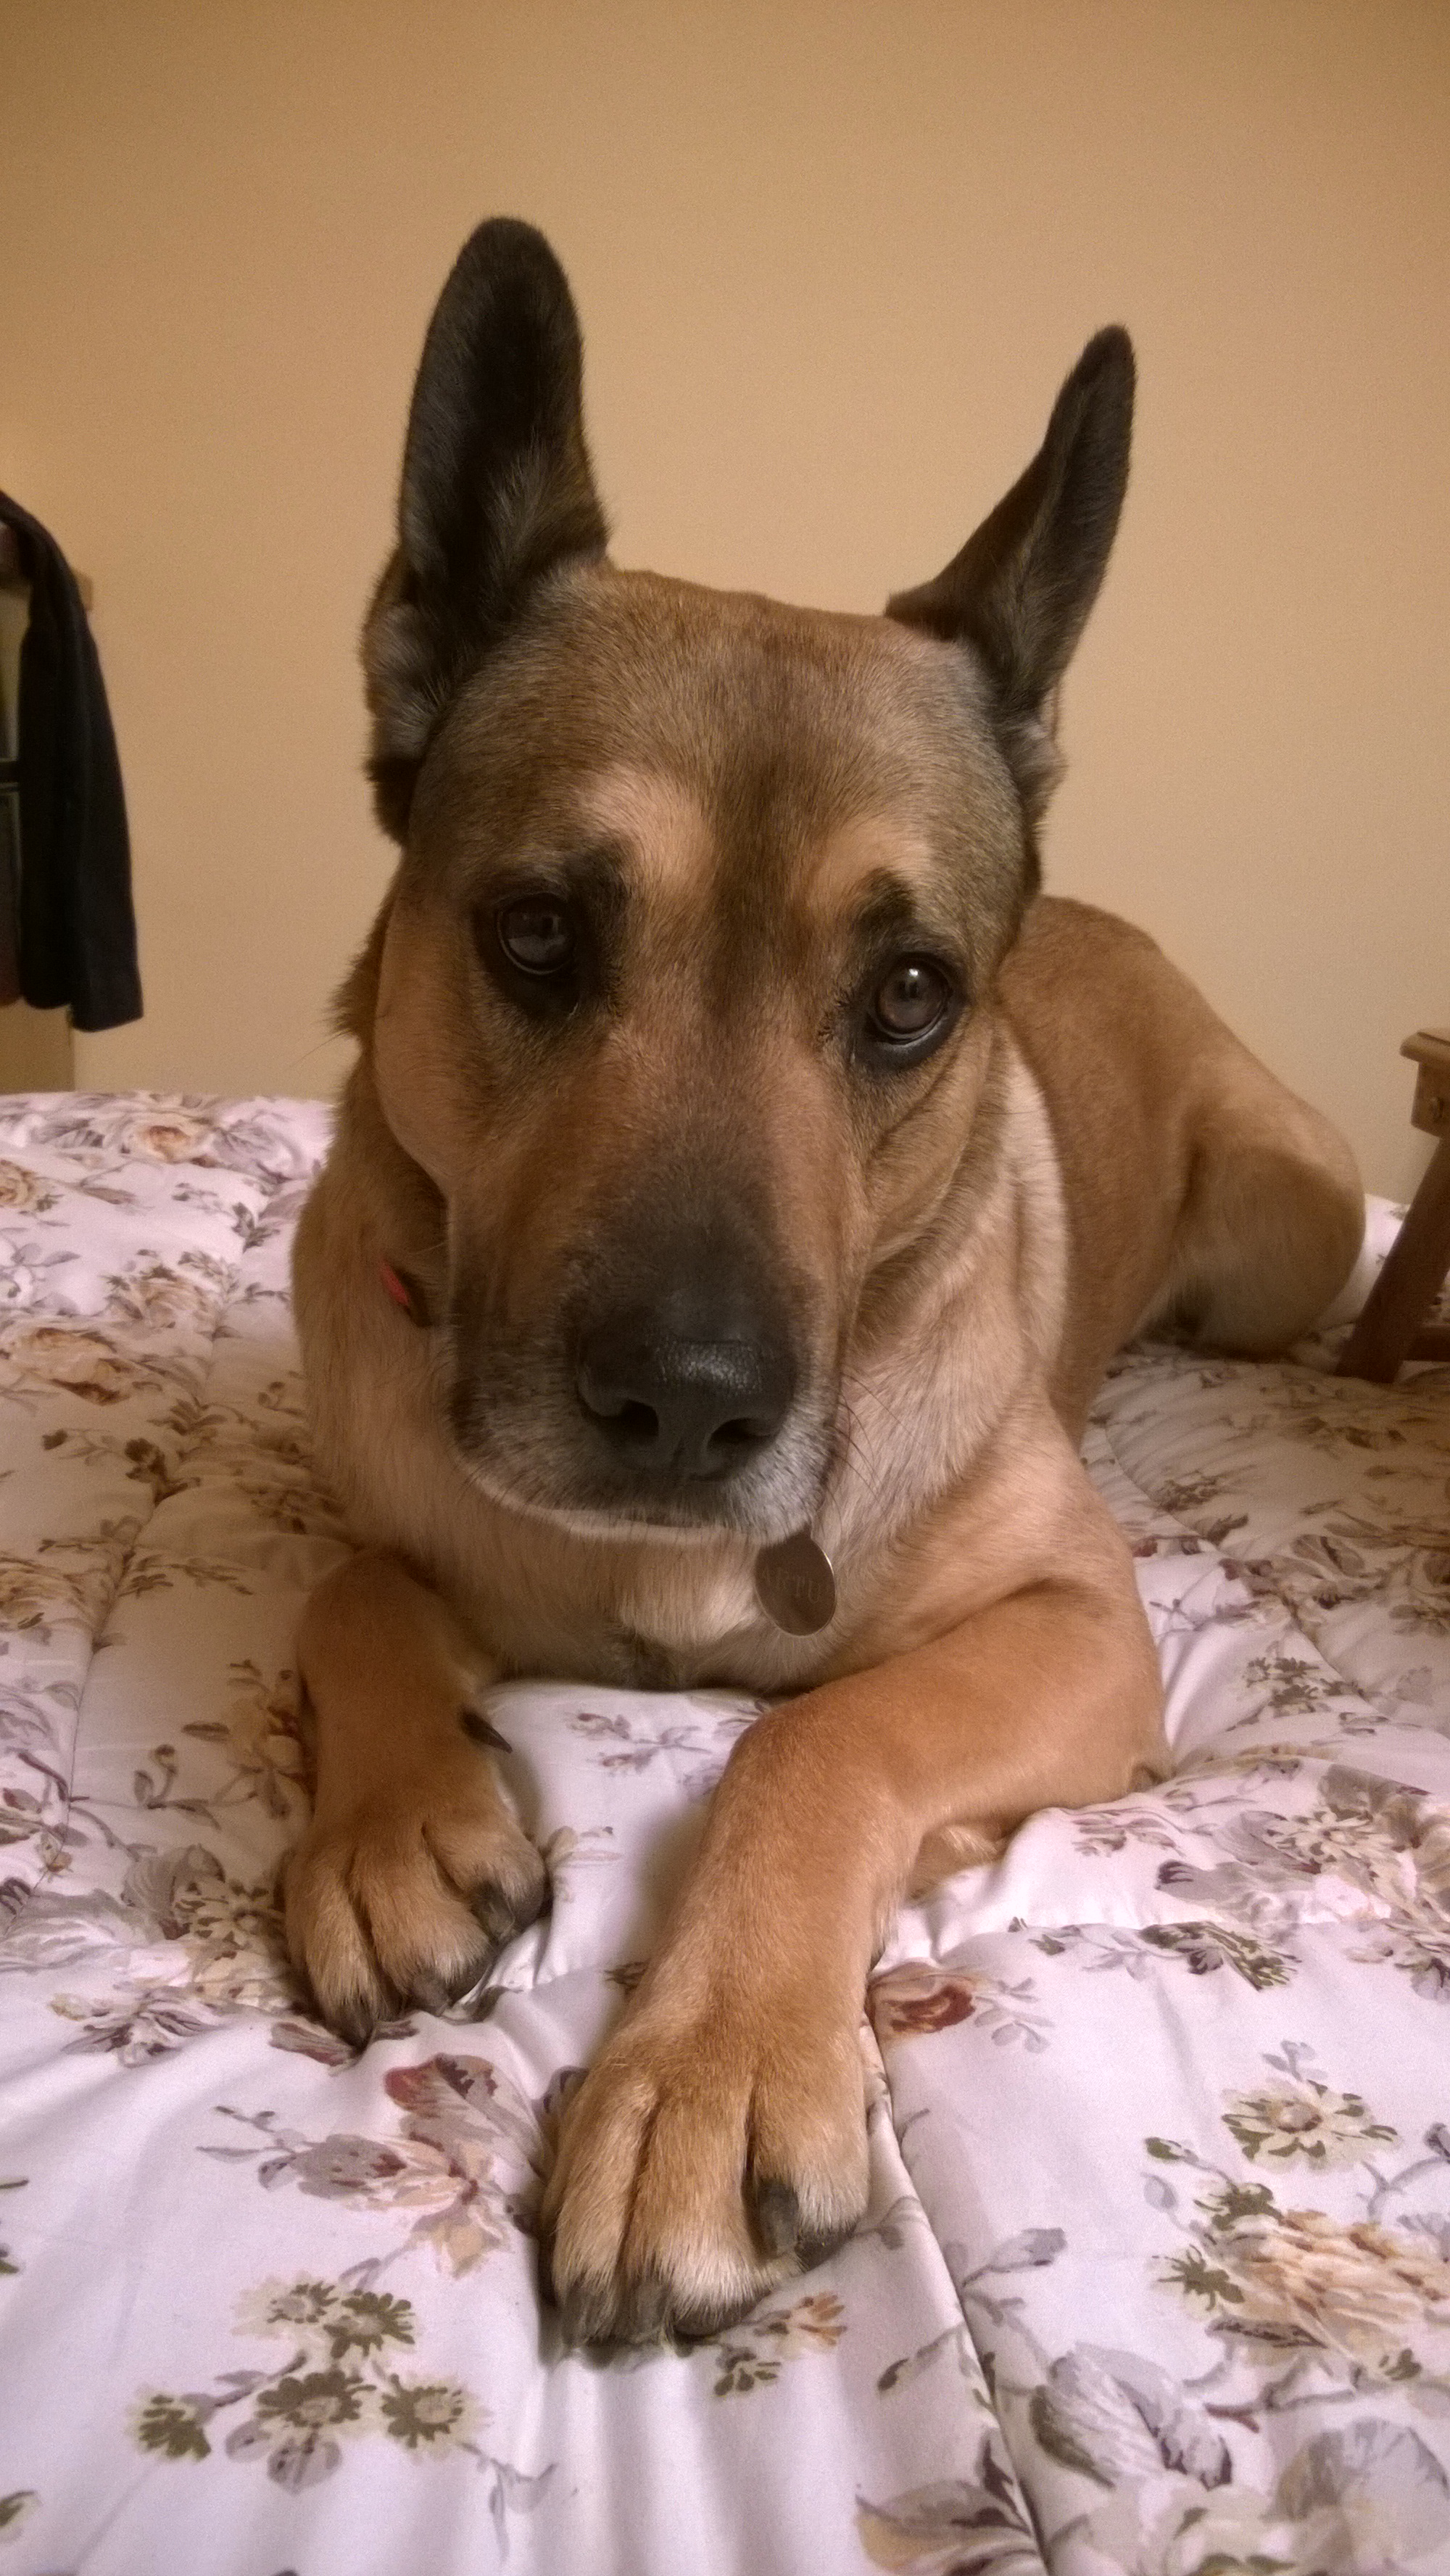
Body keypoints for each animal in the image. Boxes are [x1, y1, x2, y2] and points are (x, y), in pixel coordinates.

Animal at [285, 218, 1363, 2345]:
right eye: (538, 931)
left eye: (910, 994)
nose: (688, 1404)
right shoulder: (376, 1497)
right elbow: (349, 1583)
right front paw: (388, 1818)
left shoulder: (1077, 1624)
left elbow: (818, 1729)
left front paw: (708, 2069)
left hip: (1293, 1237)